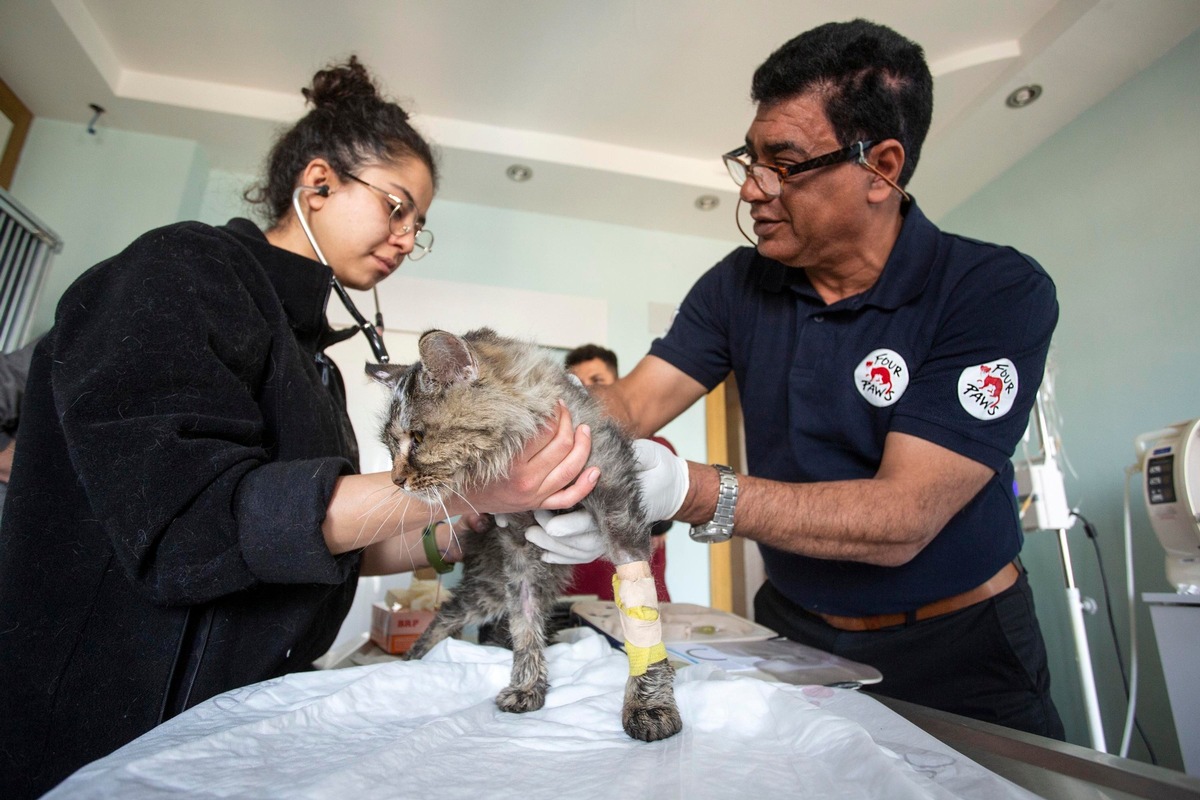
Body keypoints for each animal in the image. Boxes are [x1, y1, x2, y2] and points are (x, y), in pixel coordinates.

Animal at [364, 328, 686, 743]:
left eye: (417, 438)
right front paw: (527, 686)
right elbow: (524, 622)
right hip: (489, 586)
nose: (396, 481)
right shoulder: (517, 548)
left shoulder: (620, 517)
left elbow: (640, 616)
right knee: (446, 615)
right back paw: (412, 660)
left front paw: (649, 703)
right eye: (391, 449)